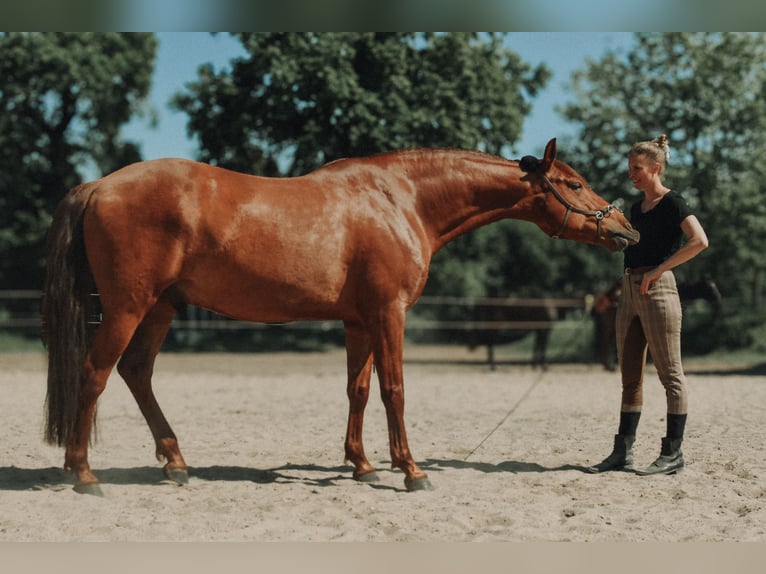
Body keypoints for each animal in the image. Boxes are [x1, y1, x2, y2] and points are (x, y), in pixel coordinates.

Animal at [42, 138, 639, 495]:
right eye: (576, 183)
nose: (626, 229)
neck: (403, 201)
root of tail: (98, 186)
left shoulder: (358, 321)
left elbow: (358, 389)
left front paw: (363, 465)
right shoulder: (388, 313)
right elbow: (394, 389)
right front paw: (411, 470)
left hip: (161, 308)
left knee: (136, 373)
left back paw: (174, 462)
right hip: (129, 306)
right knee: (95, 374)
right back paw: (84, 472)